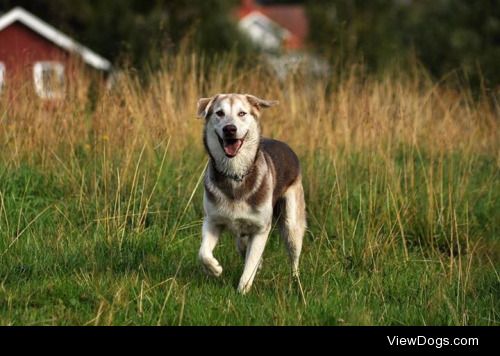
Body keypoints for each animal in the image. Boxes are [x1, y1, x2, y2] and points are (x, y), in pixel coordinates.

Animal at [195, 93, 304, 294]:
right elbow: (203, 253)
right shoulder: (212, 220)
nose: (230, 129)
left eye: (242, 113)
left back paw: (295, 281)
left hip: (292, 221)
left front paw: (243, 290)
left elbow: (251, 262)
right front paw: (215, 269)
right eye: (219, 113)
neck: (235, 174)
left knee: (294, 256)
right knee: (242, 244)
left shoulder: (261, 229)